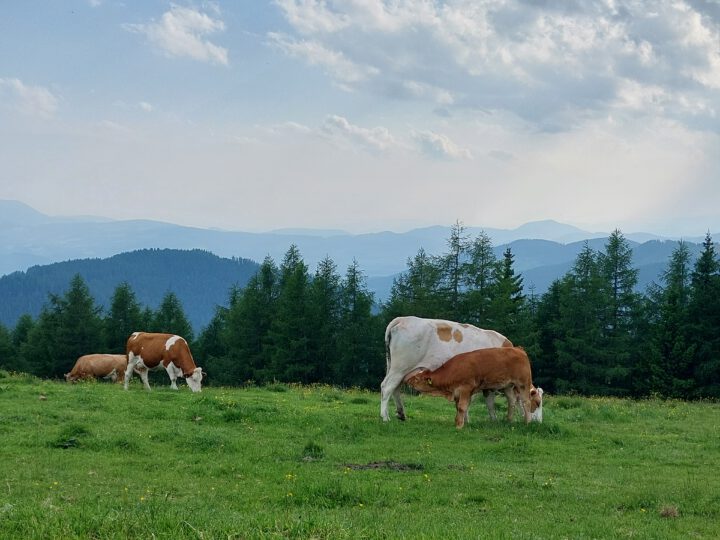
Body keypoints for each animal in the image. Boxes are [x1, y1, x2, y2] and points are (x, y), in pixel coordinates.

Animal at [381, 316, 513, 422]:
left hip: (397, 368)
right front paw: (493, 420)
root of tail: (403, 319)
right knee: (387, 387)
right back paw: (385, 417)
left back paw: (401, 414)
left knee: (395, 388)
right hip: (400, 367)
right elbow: (489, 402)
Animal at [404, 347, 542, 428]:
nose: (407, 380)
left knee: (526, 402)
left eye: (416, 379)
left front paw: (459, 426)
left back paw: (527, 422)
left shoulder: (465, 389)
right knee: (511, 401)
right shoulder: (459, 392)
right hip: (508, 386)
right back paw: (509, 420)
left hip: (523, 383)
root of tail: (518, 349)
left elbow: (462, 407)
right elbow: (459, 407)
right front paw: (457, 421)